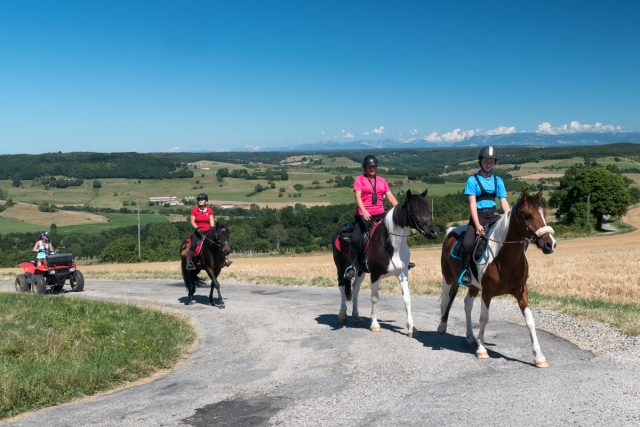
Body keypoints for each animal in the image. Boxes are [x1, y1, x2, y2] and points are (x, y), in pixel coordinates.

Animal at [332, 191, 438, 338]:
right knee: (342, 287)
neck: (391, 245)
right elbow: (374, 298)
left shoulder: (403, 274)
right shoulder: (375, 275)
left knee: (355, 288)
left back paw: (356, 317)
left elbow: (407, 299)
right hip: (341, 268)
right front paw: (375, 325)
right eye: (413, 210)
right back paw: (342, 314)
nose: (433, 231)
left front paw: (412, 328)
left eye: (427, 208)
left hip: (360, 271)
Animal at [438, 191, 556, 368]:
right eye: (527, 215)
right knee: (446, 300)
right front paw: (481, 349)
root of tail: (451, 231)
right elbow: (483, 319)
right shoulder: (487, 292)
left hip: (473, 286)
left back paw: (470, 337)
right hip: (448, 278)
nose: (550, 244)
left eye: (544, 213)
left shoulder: (521, 292)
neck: (504, 258)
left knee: (467, 304)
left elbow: (530, 320)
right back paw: (442, 327)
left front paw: (539, 357)